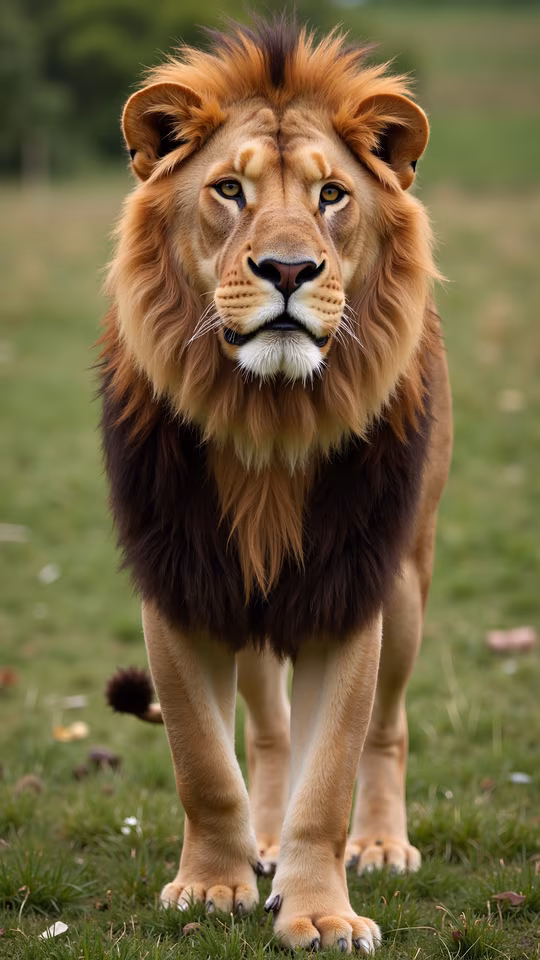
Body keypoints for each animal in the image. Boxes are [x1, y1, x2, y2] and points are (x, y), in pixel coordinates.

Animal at [101, 15, 452, 953]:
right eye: (229, 189)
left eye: (332, 196)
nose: (289, 270)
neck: (268, 417)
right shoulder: (182, 585)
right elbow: (204, 762)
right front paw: (210, 886)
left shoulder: (351, 589)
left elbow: (328, 777)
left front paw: (322, 912)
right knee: (265, 732)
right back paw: (260, 844)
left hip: (408, 586)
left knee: (389, 728)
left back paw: (381, 844)